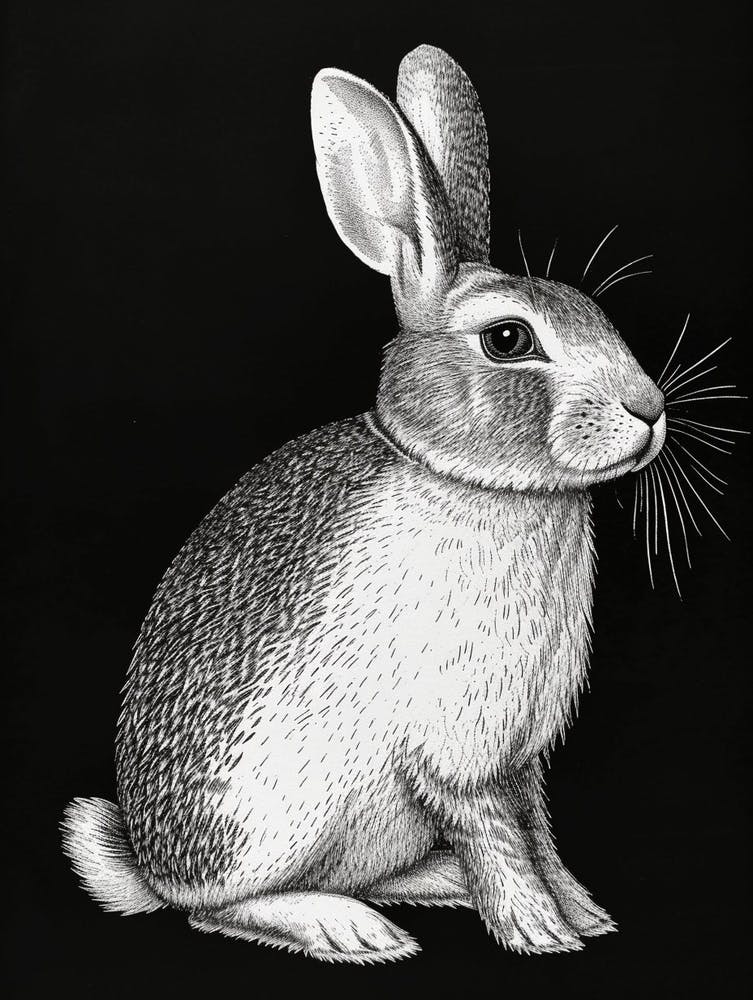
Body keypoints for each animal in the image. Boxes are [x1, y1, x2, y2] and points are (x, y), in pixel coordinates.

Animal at [62, 44, 667, 964]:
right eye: (508, 340)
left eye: (595, 313)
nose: (649, 410)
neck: (471, 480)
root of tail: (148, 863)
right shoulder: (453, 749)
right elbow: (496, 833)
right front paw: (537, 931)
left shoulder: (519, 752)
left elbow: (535, 827)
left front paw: (583, 913)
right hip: (271, 812)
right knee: (215, 908)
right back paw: (349, 929)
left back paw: (426, 888)